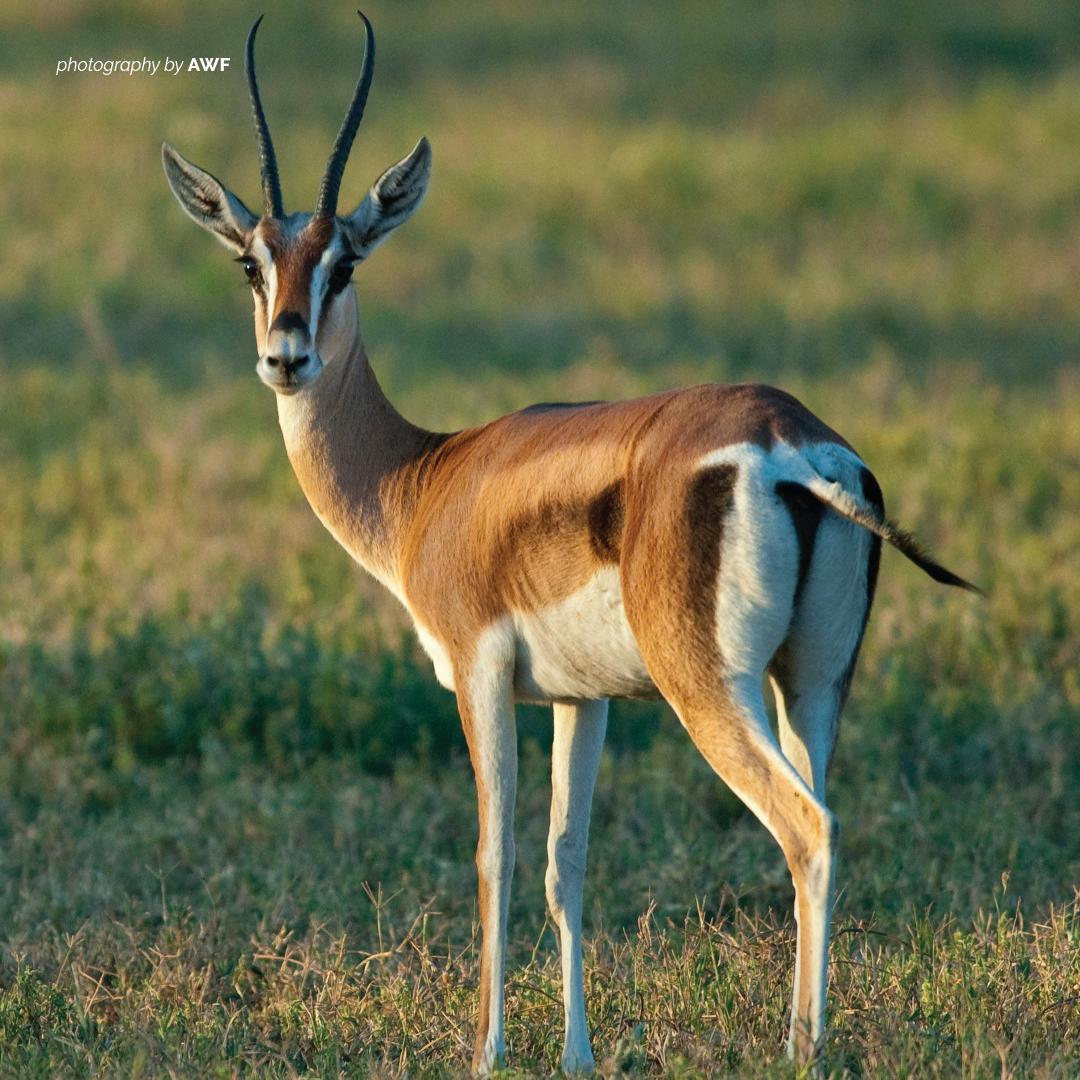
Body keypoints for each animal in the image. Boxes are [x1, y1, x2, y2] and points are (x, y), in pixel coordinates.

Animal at [163, 13, 979, 1074]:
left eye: (345, 262)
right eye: (252, 264)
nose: (286, 355)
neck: (425, 481)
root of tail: (791, 440)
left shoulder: (477, 675)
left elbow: (494, 856)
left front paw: (486, 1052)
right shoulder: (579, 700)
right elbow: (566, 862)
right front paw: (576, 1055)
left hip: (706, 685)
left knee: (807, 827)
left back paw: (799, 1049)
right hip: (812, 682)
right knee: (825, 817)